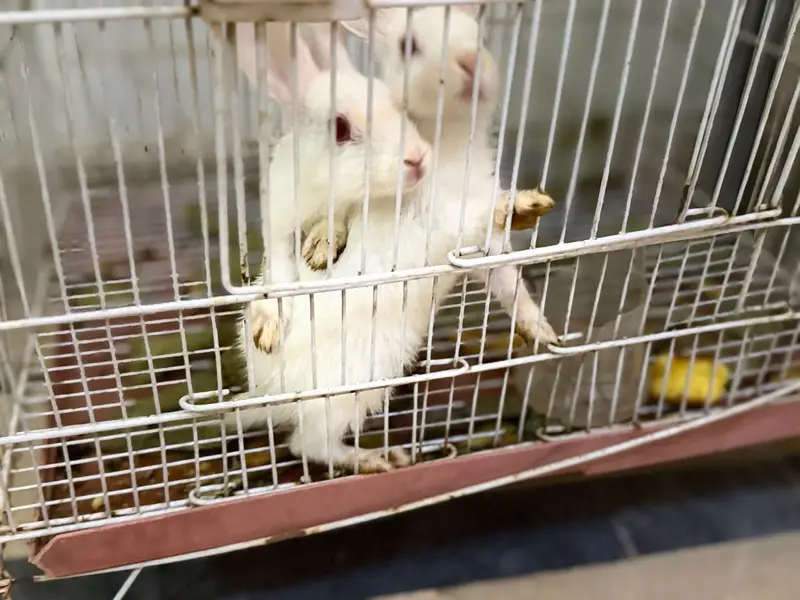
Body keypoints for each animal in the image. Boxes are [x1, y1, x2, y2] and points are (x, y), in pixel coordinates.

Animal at [226, 22, 434, 472]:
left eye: (399, 106)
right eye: (340, 128)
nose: (417, 158)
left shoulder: (347, 209)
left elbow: (335, 224)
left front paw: (322, 247)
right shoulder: (279, 220)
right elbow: (278, 271)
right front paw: (267, 328)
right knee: (306, 444)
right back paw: (377, 458)